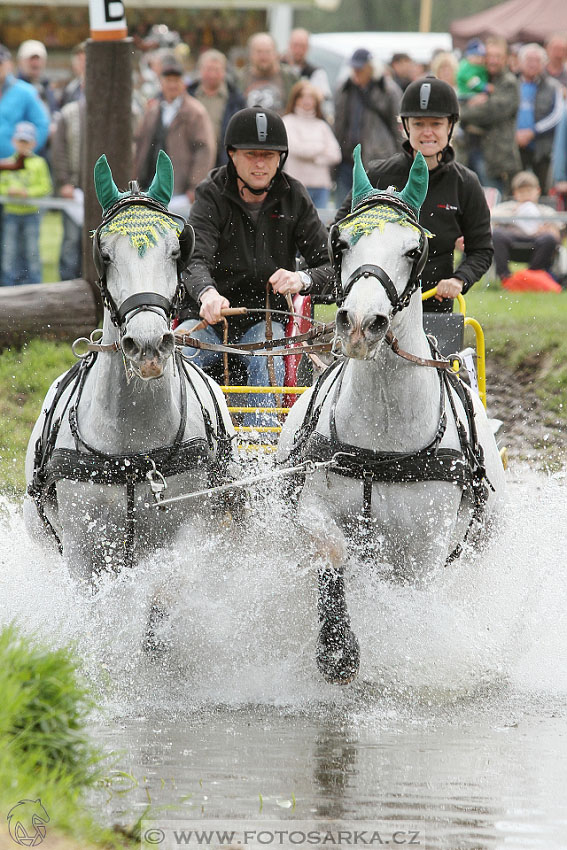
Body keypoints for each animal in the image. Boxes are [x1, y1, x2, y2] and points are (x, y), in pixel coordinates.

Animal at [24, 151, 235, 584]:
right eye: (104, 254)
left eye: (176, 251)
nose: (149, 344)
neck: (132, 453)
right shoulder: (83, 552)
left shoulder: (184, 538)